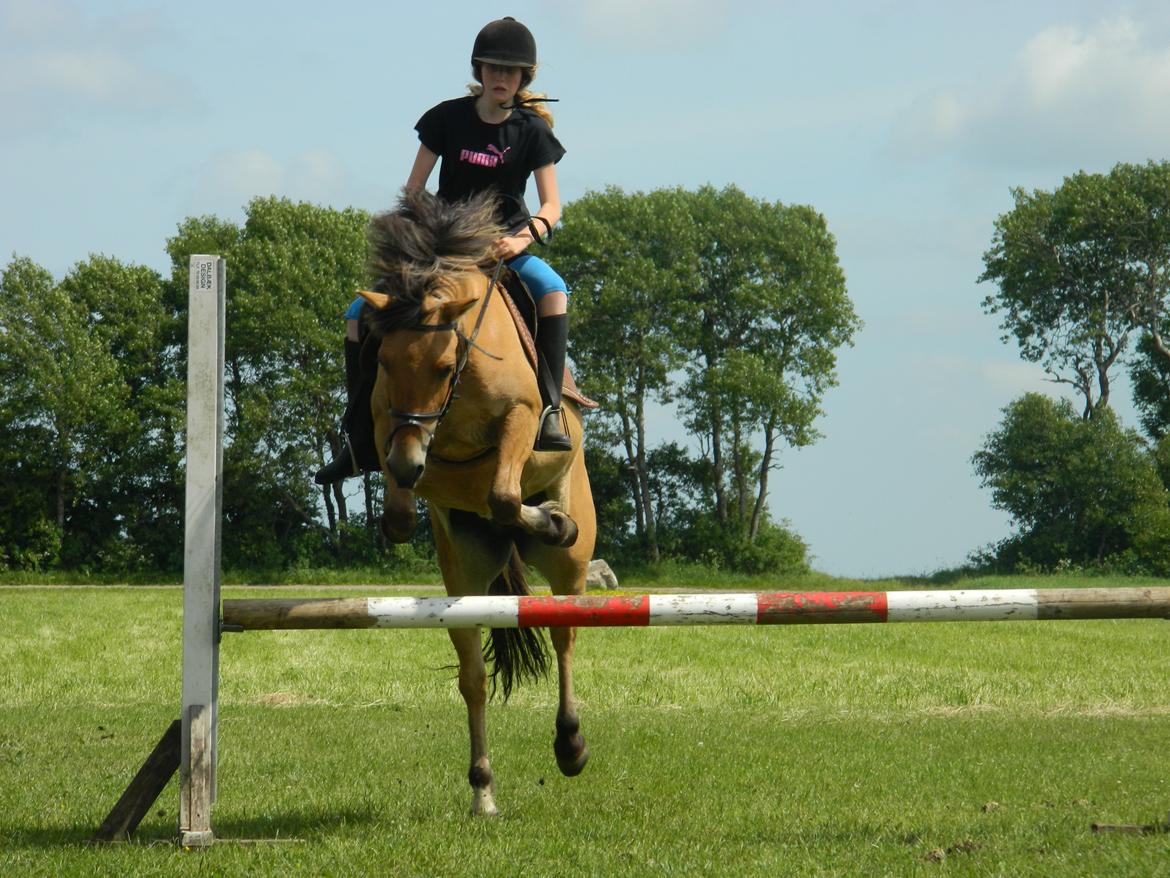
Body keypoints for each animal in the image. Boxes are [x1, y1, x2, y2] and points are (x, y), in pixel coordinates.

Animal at [353, 187, 594, 819]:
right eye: (382, 361)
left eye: (442, 366)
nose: (409, 466)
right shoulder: (386, 420)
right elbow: (398, 514)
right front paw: (402, 497)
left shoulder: (519, 420)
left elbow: (506, 493)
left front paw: (549, 519)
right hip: (462, 578)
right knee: (473, 675)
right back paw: (483, 788)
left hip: (572, 566)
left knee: (564, 635)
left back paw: (571, 746)